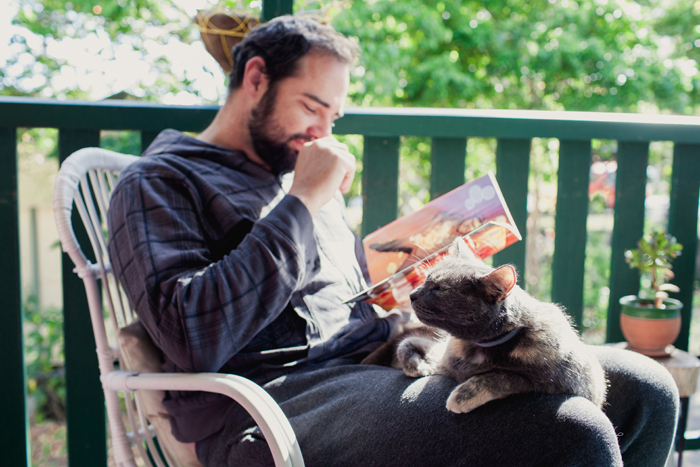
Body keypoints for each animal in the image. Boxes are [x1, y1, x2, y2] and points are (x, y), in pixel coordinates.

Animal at [366, 241, 608, 414]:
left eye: (439, 288)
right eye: (426, 279)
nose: (412, 294)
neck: (479, 349)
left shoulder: (568, 382)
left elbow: (504, 376)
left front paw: (462, 395)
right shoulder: (440, 355)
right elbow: (406, 344)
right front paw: (418, 367)